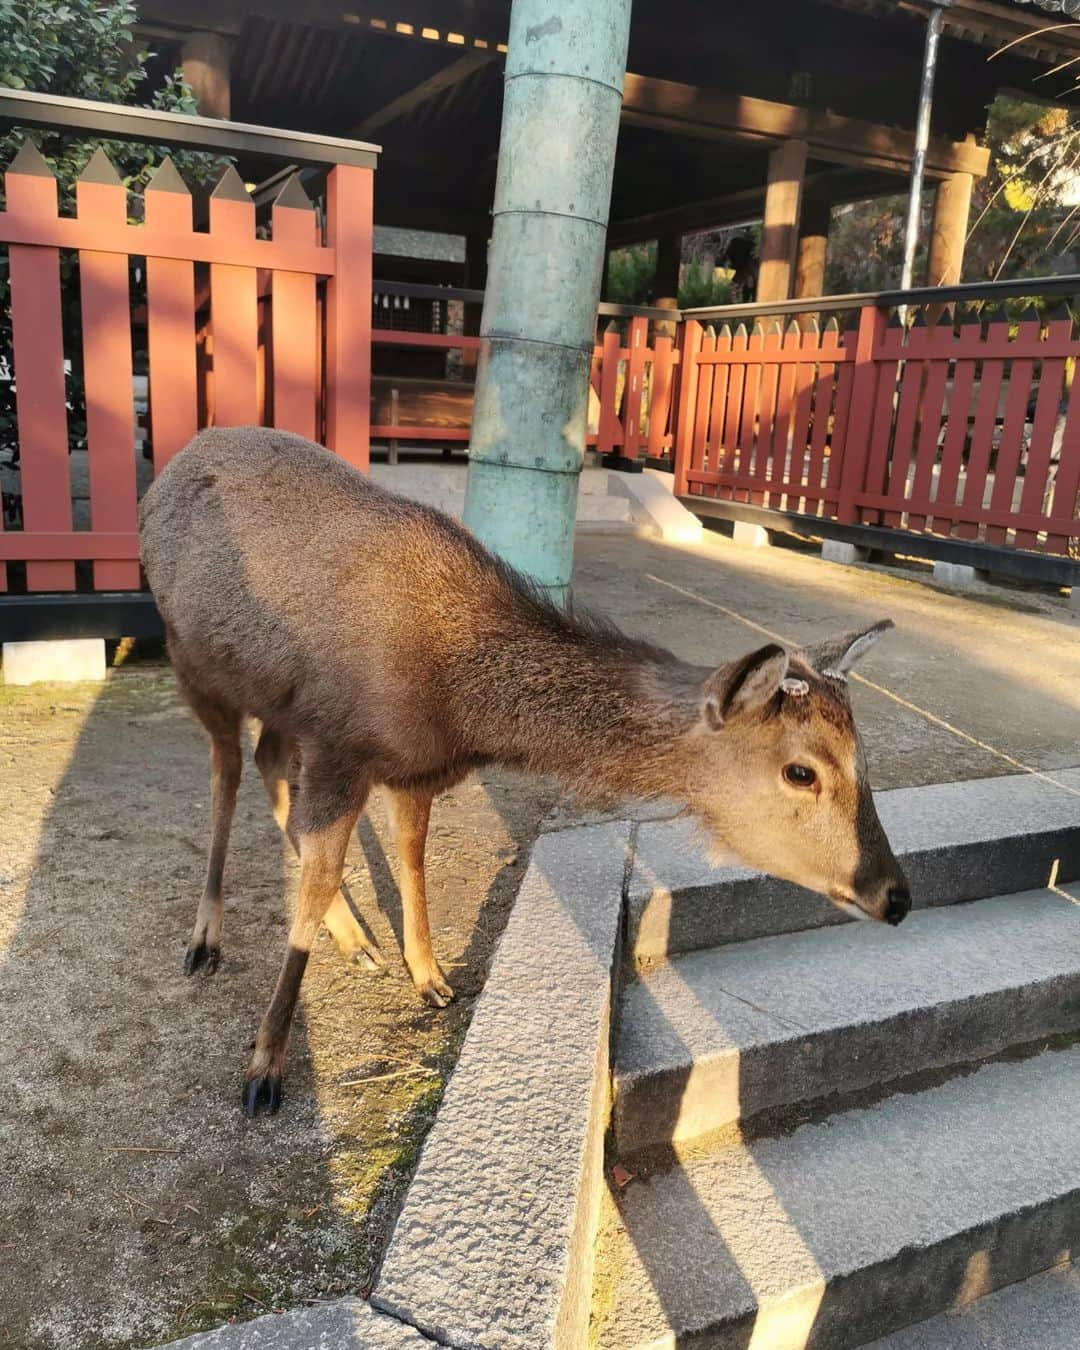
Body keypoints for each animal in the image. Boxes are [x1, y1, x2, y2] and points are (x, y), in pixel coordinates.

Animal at [139, 426, 907, 1112]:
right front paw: (264, 1068)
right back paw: (206, 939)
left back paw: (355, 941)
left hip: (273, 698)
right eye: (802, 772)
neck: (457, 705)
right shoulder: (339, 748)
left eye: (863, 755)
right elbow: (324, 870)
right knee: (226, 771)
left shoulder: (409, 767)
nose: (896, 895)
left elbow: (412, 856)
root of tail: (170, 468)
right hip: (190, 657)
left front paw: (430, 977)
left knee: (267, 762)